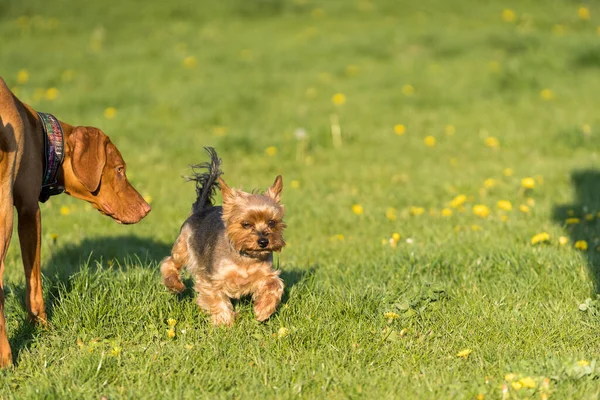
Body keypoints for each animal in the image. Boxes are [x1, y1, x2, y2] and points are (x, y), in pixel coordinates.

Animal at [0, 76, 150, 368]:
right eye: (120, 169)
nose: (147, 208)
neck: (44, 138)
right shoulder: (28, 211)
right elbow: (34, 283)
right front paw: (41, 326)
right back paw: (6, 359)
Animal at [161, 148, 288, 326]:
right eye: (246, 224)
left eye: (271, 222)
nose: (263, 242)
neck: (245, 257)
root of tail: (201, 208)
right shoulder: (211, 278)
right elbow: (216, 300)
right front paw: (225, 323)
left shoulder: (265, 274)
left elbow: (275, 285)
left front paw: (263, 310)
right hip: (183, 247)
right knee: (169, 262)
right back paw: (175, 284)